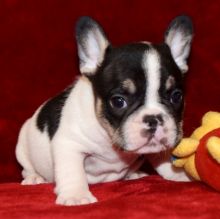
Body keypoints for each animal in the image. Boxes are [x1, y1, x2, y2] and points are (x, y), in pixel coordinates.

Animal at [15, 15, 192, 205]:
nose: (153, 118)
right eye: (118, 101)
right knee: (27, 169)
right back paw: (34, 178)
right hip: (22, 148)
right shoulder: (69, 144)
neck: (110, 137)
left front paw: (179, 175)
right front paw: (76, 195)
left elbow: (165, 160)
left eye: (176, 96)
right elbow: (72, 171)